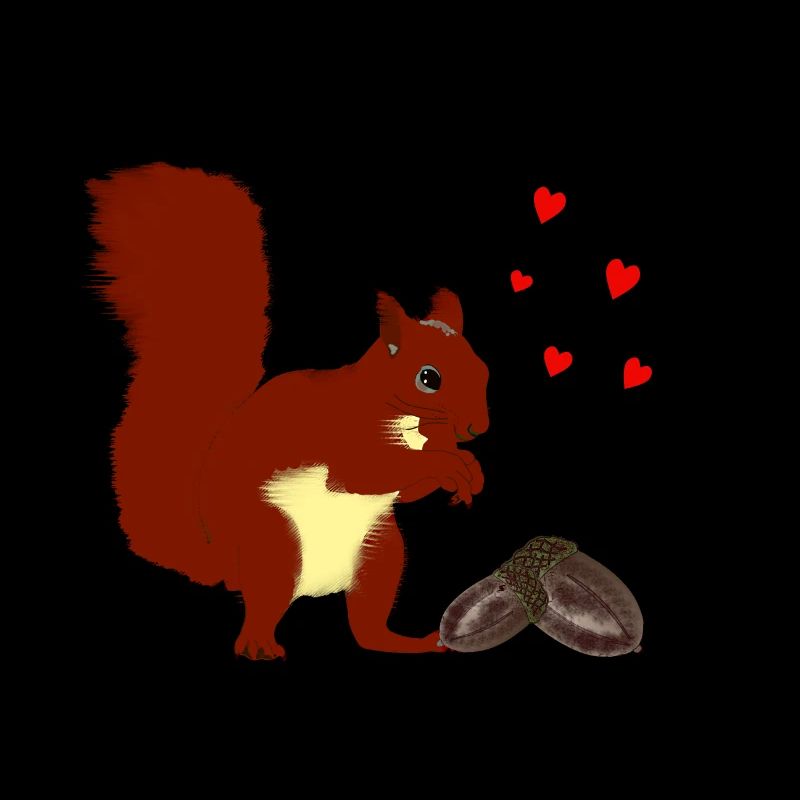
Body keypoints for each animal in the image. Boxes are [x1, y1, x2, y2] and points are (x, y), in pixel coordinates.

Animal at [89, 163, 489, 660]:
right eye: (428, 378)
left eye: (482, 367)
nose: (477, 428)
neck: (408, 423)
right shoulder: (341, 434)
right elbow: (363, 473)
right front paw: (451, 465)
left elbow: (407, 486)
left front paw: (467, 468)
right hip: (273, 547)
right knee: (266, 602)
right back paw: (258, 644)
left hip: (381, 553)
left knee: (366, 623)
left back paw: (403, 643)